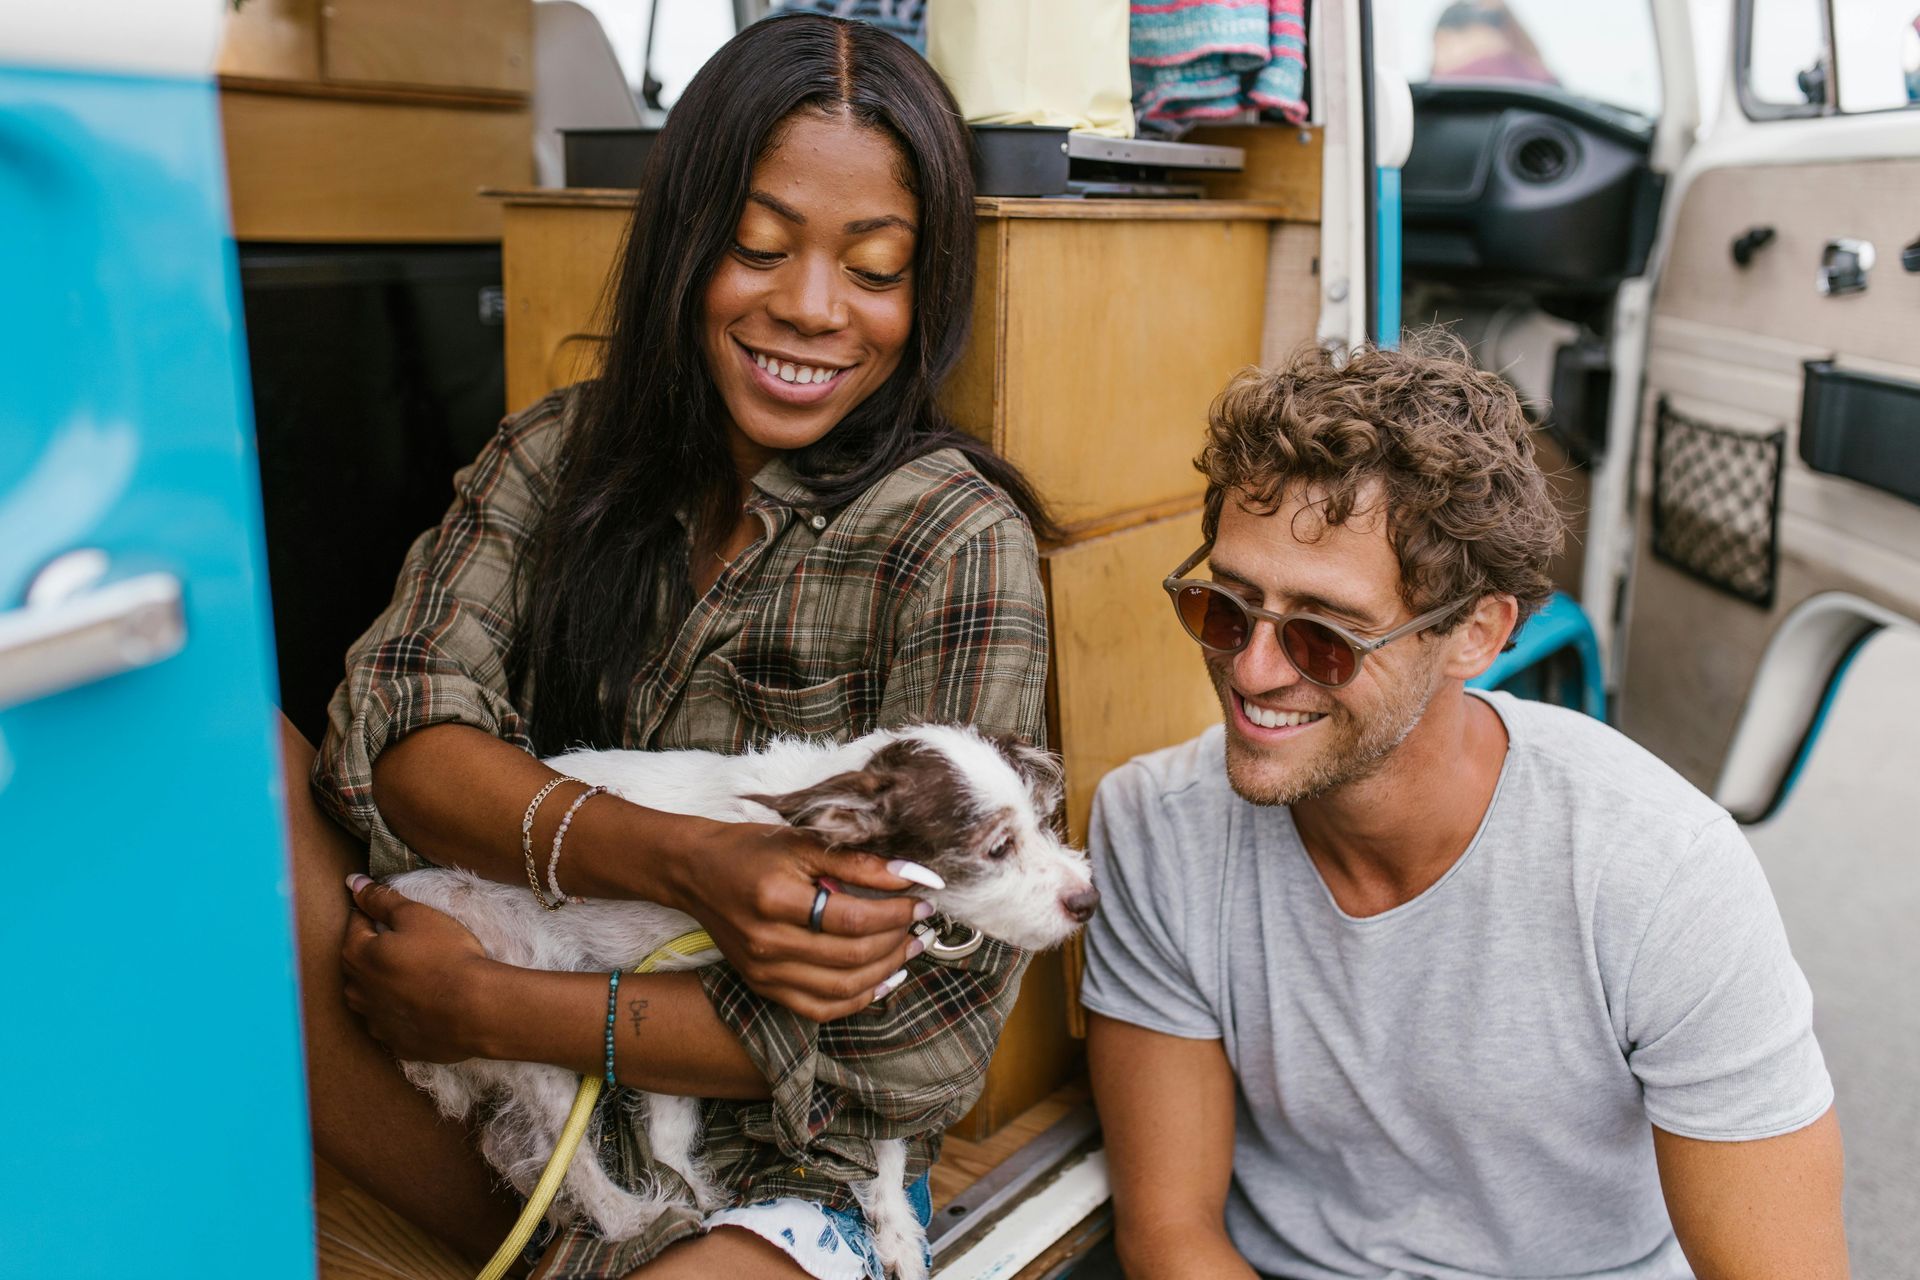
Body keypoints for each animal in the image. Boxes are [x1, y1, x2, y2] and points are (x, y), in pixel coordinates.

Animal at [385, 725, 1098, 1274]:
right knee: (568, 1151)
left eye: (1042, 825)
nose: (1088, 901)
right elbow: (670, 1132)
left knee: (516, 1145)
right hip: (512, 994)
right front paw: (688, 1191)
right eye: (997, 847)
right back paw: (633, 1216)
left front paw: (894, 1228)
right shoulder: (664, 984)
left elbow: (883, 1134)